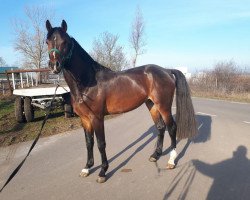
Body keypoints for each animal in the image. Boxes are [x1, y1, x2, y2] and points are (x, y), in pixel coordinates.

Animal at [45, 19, 197, 183]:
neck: (88, 82)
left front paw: (102, 172)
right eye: (47, 41)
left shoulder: (97, 118)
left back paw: (171, 161)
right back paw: (155, 155)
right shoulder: (84, 119)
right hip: (152, 105)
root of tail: (166, 70)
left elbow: (101, 144)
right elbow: (88, 143)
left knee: (172, 127)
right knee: (161, 127)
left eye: (65, 42)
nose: (54, 66)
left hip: (164, 106)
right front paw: (87, 168)